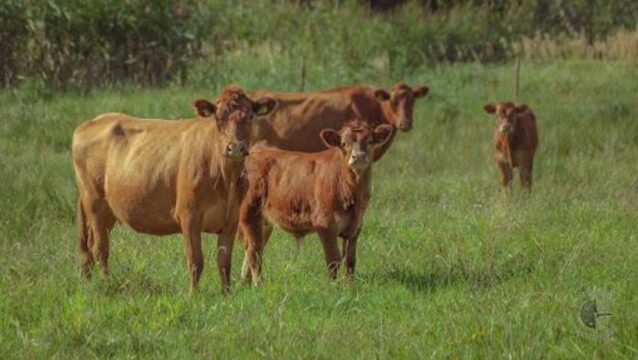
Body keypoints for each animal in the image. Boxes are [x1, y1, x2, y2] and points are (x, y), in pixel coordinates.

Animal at [72, 87, 278, 296]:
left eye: (250, 117)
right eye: (218, 118)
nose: (235, 148)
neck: (225, 178)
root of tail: (91, 122)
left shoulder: (231, 220)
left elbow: (224, 262)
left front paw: (226, 295)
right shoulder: (189, 216)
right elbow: (196, 261)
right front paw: (193, 295)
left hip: (108, 211)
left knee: (89, 247)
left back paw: (87, 283)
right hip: (95, 203)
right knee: (100, 248)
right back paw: (106, 284)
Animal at [239, 122, 396, 286]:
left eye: (370, 141)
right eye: (343, 143)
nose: (358, 156)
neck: (351, 193)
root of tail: (257, 150)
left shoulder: (355, 227)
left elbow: (350, 260)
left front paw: (349, 285)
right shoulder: (326, 225)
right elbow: (333, 260)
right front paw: (333, 286)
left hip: (264, 223)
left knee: (252, 250)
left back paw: (244, 283)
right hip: (249, 214)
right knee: (254, 253)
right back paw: (259, 285)